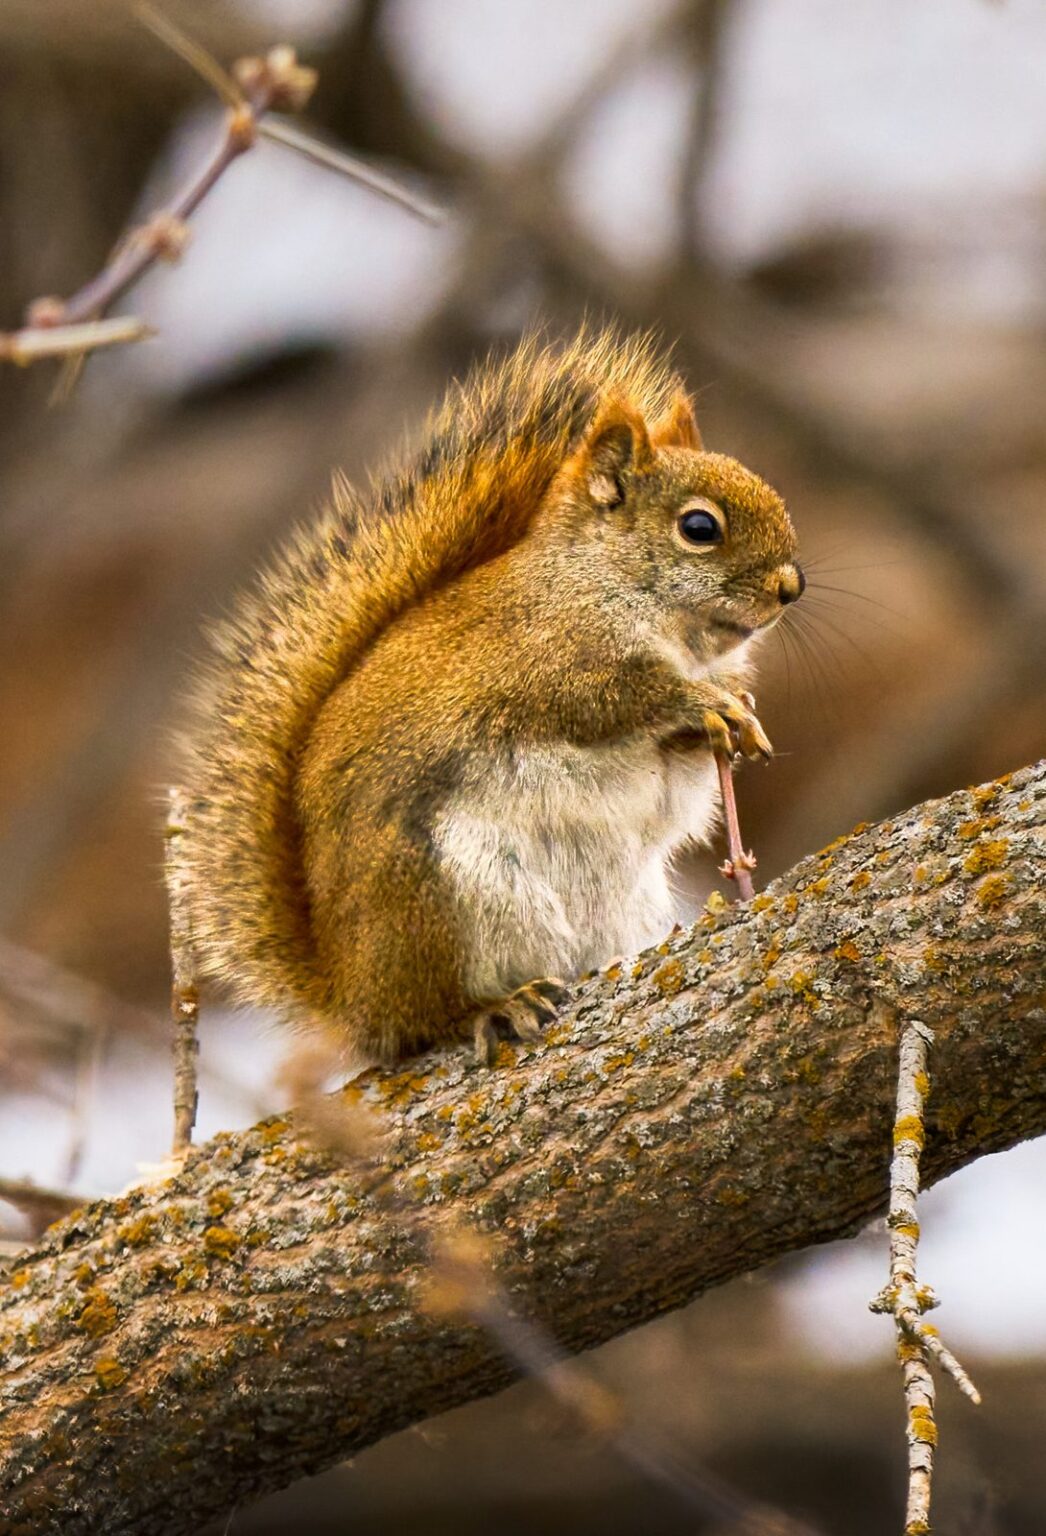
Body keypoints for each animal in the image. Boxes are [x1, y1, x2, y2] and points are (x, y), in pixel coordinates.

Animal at [180, 326, 802, 1066]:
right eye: (699, 528)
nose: (791, 587)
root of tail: (351, 996)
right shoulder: (543, 659)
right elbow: (610, 698)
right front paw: (705, 705)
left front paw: (740, 720)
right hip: (440, 900)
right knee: (429, 1017)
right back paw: (493, 1007)